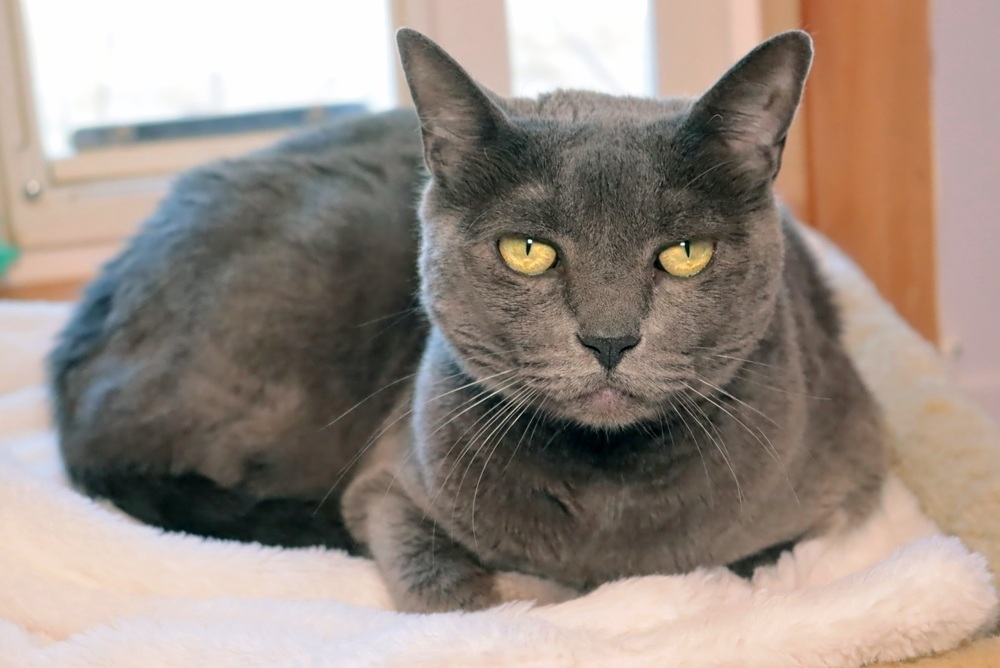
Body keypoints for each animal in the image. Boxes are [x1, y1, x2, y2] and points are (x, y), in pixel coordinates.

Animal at [50, 28, 888, 612]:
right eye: (528, 251)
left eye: (685, 254)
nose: (609, 339)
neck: (605, 480)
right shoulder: (386, 485)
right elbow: (447, 591)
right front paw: (524, 596)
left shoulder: (847, 494)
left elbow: (745, 558)